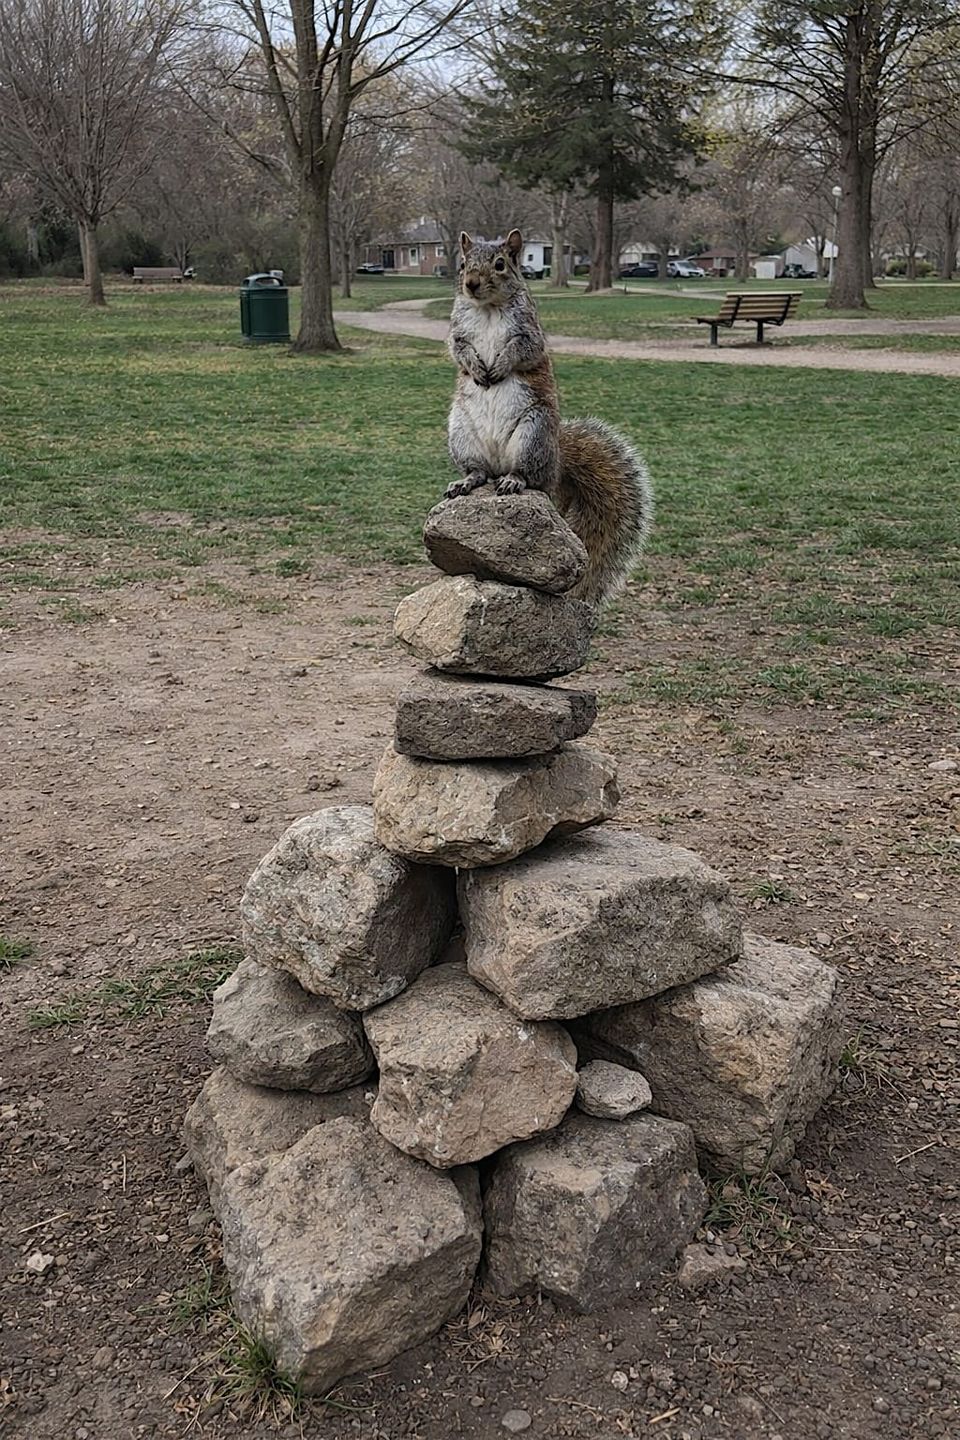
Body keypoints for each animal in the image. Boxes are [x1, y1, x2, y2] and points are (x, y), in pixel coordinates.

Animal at [445, 228, 653, 607]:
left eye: (500, 264)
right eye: (464, 264)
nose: (471, 284)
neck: (487, 309)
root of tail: (557, 464)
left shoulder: (529, 333)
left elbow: (521, 350)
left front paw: (498, 367)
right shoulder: (458, 332)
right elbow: (460, 350)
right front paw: (477, 370)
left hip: (534, 433)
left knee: (531, 478)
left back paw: (514, 481)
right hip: (462, 432)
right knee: (479, 471)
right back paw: (468, 480)